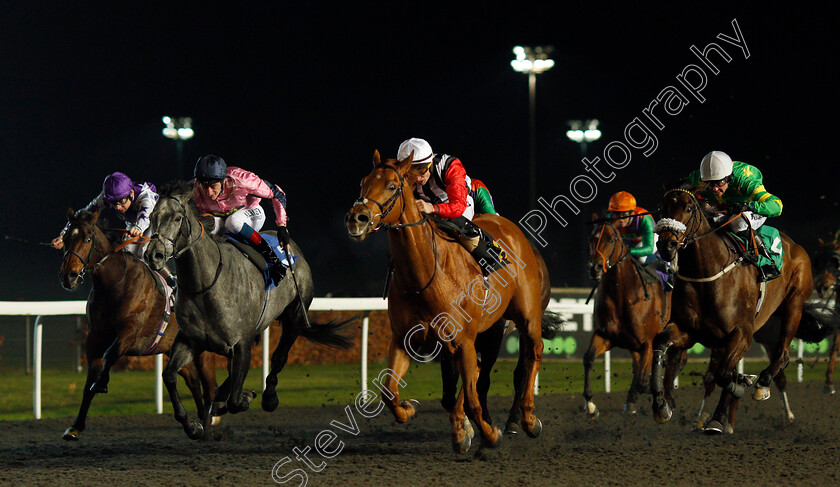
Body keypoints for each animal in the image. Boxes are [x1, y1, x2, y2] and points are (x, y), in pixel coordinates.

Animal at [57, 209, 217, 442]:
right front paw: (75, 427)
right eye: (67, 238)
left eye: (87, 238)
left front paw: (102, 382)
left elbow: (110, 355)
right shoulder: (94, 338)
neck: (114, 284)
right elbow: (89, 383)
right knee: (192, 380)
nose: (68, 276)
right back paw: (195, 425)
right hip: (173, 349)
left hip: (203, 351)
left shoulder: (130, 331)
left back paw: (210, 422)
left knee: (209, 386)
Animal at [145, 181, 354, 440]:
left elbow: (236, 400)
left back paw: (268, 396)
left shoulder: (242, 342)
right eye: (152, 217)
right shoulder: (190, 340)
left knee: (279, 356)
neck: (205, 284)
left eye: (176, 218)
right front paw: (192, 425)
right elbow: (170, 375)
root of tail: (293, 248)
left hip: (295, 315)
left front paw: (243, 397)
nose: (153, 254)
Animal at [344, 152, 548, 454]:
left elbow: (473, 398)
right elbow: (390, 391)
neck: (426, 275)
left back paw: (528, 419)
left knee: (532, 355)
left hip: (527, 316)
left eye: (392, 186)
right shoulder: (405, 338)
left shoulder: (464, 340)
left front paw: (489, 434)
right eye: (363, 182)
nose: (356, 218)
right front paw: (412, 409)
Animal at [580, 215, 672, 418]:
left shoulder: (647, 342)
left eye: (611, 239)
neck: (622, 294)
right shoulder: (605, 336)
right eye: (590, 238)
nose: (594, 267)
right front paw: (590, 404)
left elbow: (642, 379)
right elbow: (588, 358)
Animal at [648, 187, 840, 434]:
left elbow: (723, 375)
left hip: (793, 304)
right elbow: (661, 344)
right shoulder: (689, 331)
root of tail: (794, 245)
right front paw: (661, 405)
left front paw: (740, 387)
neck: (707, 275)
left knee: (782, 353)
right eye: (662, 208)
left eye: (688, 208)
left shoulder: (741, 333)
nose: (666, 246)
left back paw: (761, 386)